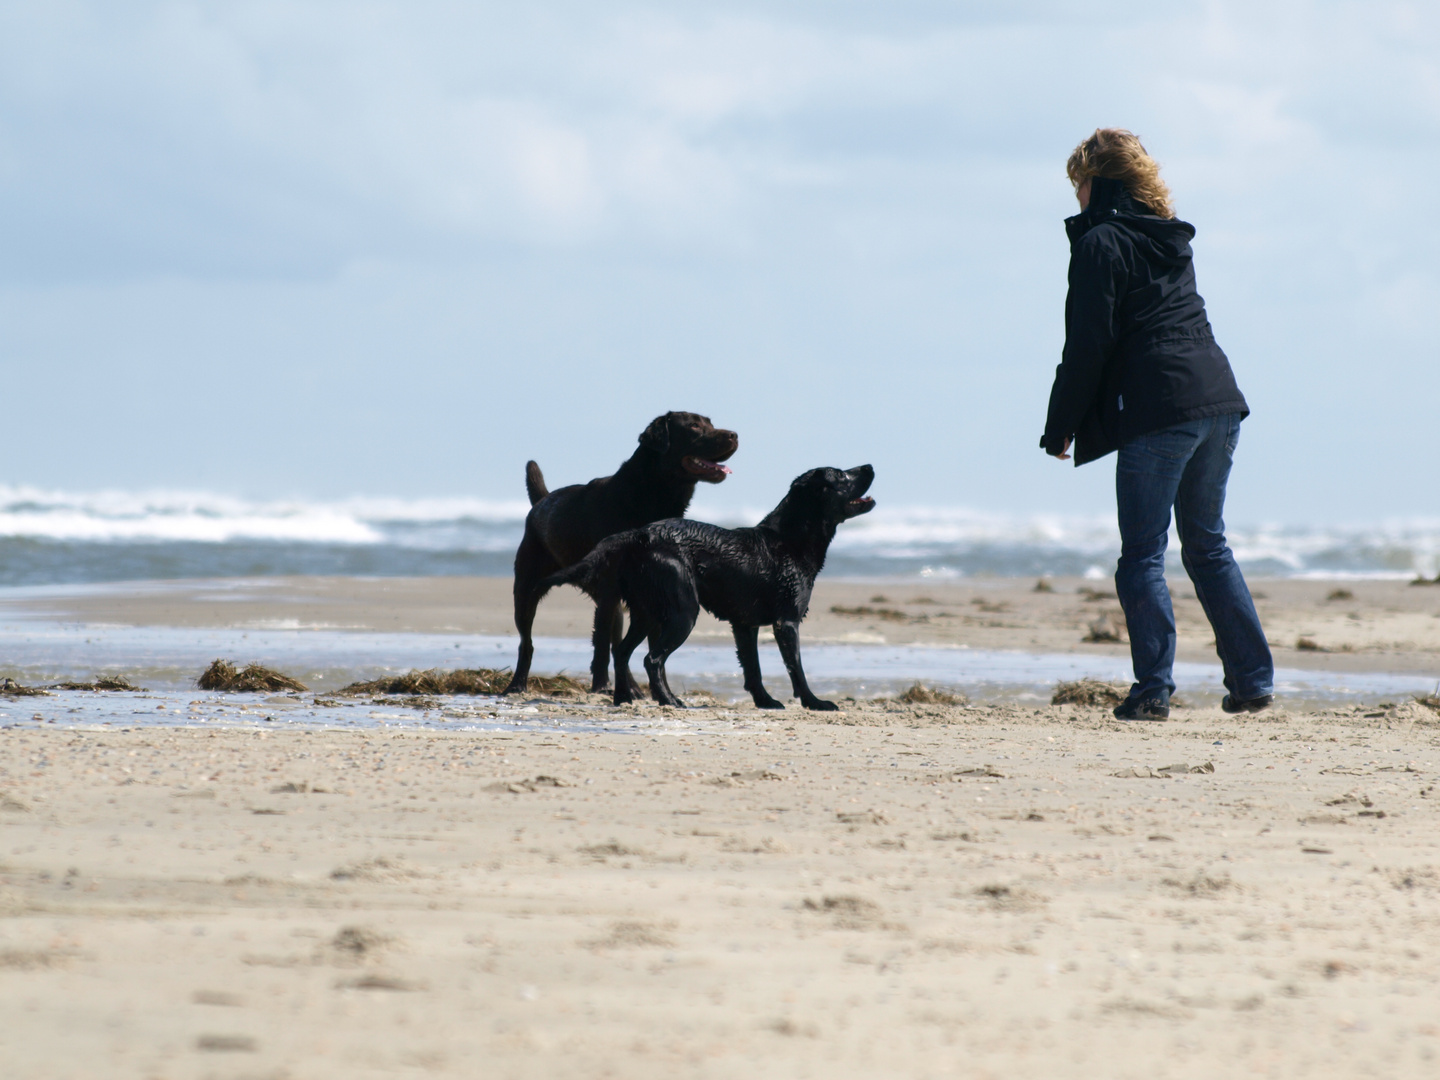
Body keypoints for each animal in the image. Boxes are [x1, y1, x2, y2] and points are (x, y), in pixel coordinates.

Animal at [501, 408, 737, 696]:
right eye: (693, 426)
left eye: (710, 424)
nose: (734, 435)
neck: (649, 495)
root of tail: (541, 502)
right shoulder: (609, 589)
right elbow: (603, 641)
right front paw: (602, 686)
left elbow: (650, 648)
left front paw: (658, 690)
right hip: (526, 589)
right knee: (528, 642)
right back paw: (517, 684)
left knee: (619, 645)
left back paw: (632, 688)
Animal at [544, 466, 869, 711]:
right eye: (841, 475)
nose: (869, 466)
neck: (789, 540)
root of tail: (638, 535)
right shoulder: (786, 623)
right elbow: (796, 670)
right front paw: (815, 703)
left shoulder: (745, 625)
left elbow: (753, 669)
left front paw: (765, 702)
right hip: (683, 612)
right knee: (652, 659)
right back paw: (669, 701)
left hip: (646, 612)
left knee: (622, 652)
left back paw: (624, 699)